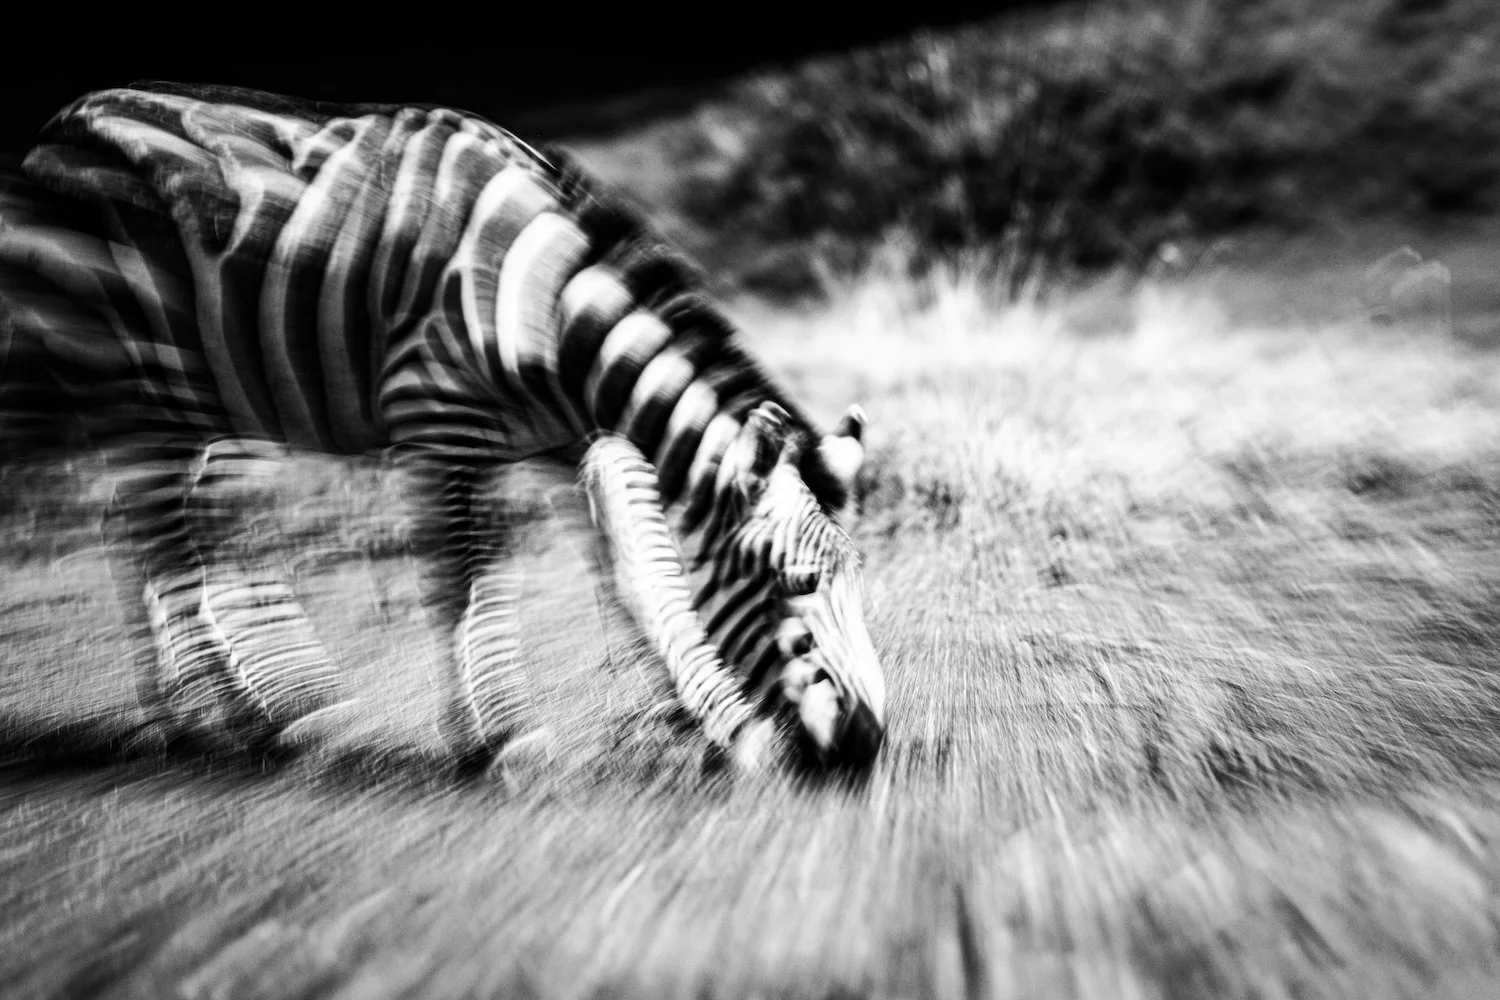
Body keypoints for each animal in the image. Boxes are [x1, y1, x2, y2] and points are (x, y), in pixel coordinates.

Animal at [0, 82, 885, 772]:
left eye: (855, 575)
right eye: (796, 584)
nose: (868, 744)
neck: (553, 314)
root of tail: (64, 118)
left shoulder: (582, 440)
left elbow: (642, 576)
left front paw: (724, 728)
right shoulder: (438, 423)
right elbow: (463, 581)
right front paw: (499, 738)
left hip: (201, 403)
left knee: (173, 536)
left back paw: (263, 712)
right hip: (122, 382)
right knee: (165, 547)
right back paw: (222, 717)